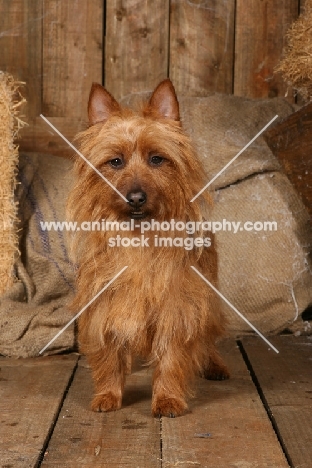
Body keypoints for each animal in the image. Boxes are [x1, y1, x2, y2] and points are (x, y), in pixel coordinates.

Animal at [67, 79, 229, 416]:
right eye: (115, 161)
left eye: (157, 159)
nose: (136, 197)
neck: (140, 238)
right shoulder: (106, 304)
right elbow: (110, 354)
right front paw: (108, 394)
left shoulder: (177, 307)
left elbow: (171, 356)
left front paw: (167, 399)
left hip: (207, 299)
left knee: (208, 337)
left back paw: (214, 366)